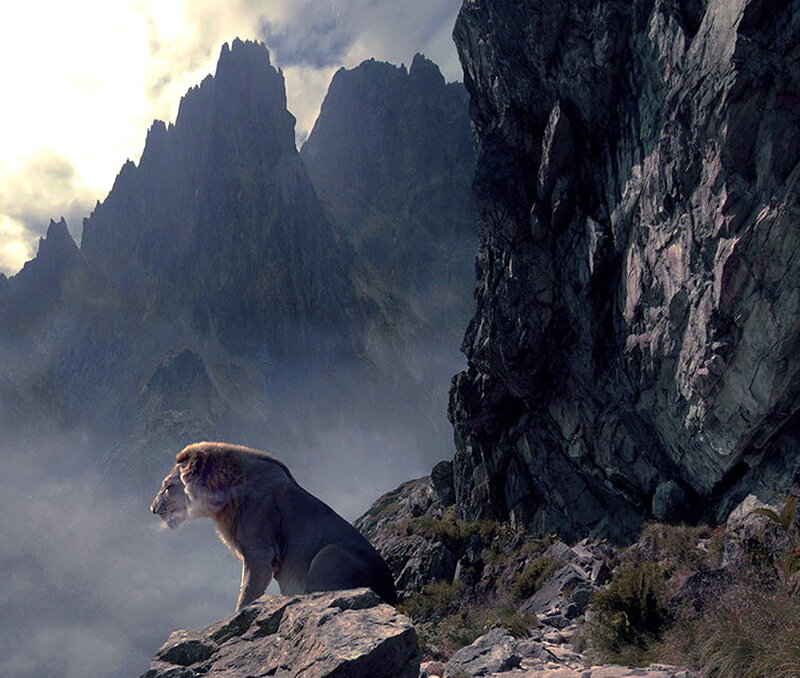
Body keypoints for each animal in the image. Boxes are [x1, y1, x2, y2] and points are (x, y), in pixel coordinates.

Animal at [150, 442, 397, 611]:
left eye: (167, 487)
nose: (152, 509)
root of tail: (393, 594)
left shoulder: (260, 552)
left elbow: (246, 595)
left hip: (330, 552)